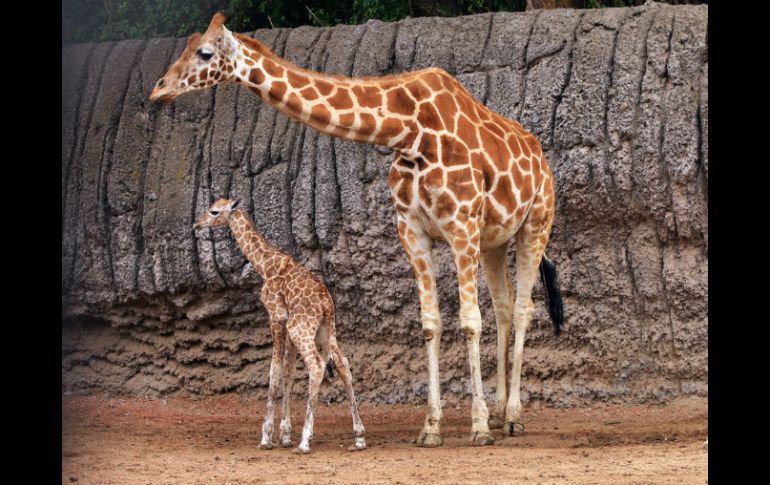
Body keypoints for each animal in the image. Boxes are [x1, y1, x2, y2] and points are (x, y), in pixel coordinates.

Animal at [190, 199, 362, 452]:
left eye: (214, 211)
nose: (196, 224)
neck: (264, 263)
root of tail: (324, 302)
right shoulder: (287, 323)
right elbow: (288, 372)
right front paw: (285, 434)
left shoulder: (277, 316)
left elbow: (274, 370)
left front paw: (267, 437)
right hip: (325, 329)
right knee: (342, 363)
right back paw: (359, 437)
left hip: (302, 328)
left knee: (317, 365)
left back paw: (305, 442)